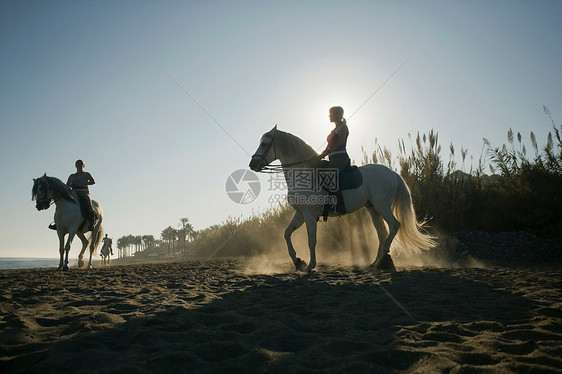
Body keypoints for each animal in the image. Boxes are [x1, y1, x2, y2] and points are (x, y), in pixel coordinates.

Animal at [247, 125, 436, 272]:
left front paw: (310, 266)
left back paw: (384, 259)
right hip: (373, 209)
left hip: (382, 206)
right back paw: (375, 262)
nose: (252, 164)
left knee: (394, 226)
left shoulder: (309, 216)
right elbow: (286, 234)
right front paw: (298, 261)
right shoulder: (300, 214)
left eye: (264, 143)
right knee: (381, 233)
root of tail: (392, 173)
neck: (305, 174)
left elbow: (311, 241)